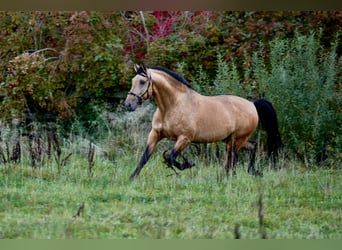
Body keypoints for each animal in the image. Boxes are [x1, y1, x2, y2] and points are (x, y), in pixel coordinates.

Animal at [124, 64, 282, 180]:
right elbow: (145, 157)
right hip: (231, 140)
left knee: (232, 159)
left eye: (142, 82)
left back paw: (229, 177)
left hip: (236, 140)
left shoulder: (184, 139)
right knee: (249, 148)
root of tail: (252, 104)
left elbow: (171, 157)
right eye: (132, 81)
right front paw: (132, 178)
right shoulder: (155, 134)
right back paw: (250, 172)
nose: (128, 105)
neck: (172, 106)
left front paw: (188, 164)